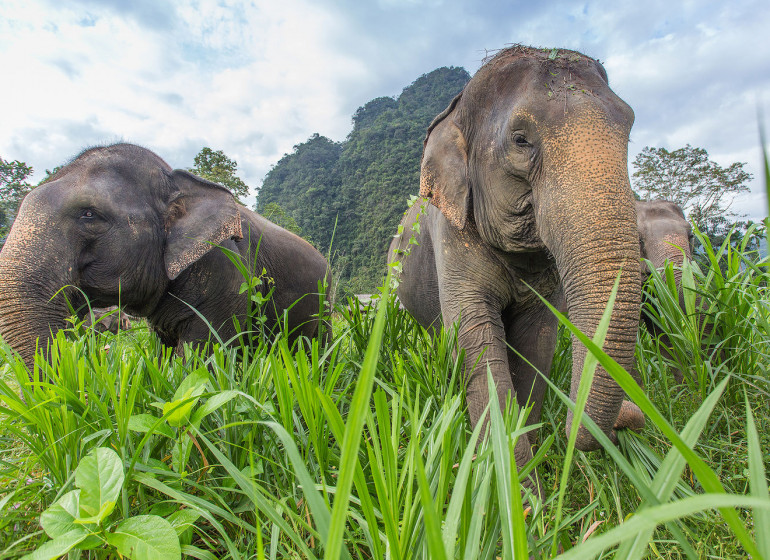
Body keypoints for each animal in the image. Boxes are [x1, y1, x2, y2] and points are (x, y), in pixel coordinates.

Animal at [388, 44, 644, 490]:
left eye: (628, 127)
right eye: (521, 140)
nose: (630, 419)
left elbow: (537, 342)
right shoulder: (451, 236)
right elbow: (476, 342)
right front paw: (518, 493)